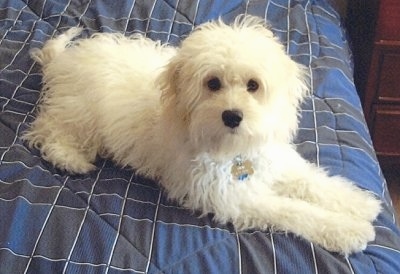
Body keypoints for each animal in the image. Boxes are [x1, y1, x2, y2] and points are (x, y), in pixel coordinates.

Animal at [24, 15, 382, 255]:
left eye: (253, 85)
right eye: (213, 83)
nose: (232, 116)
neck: (234, 151)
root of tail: (65, 59)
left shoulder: (275, 161)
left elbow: (313, 182)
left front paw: (360, 204)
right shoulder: (232, 196)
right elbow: (293, 210)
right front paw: (348, 229)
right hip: (80, 114)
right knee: (45, 129)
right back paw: (70, 159)